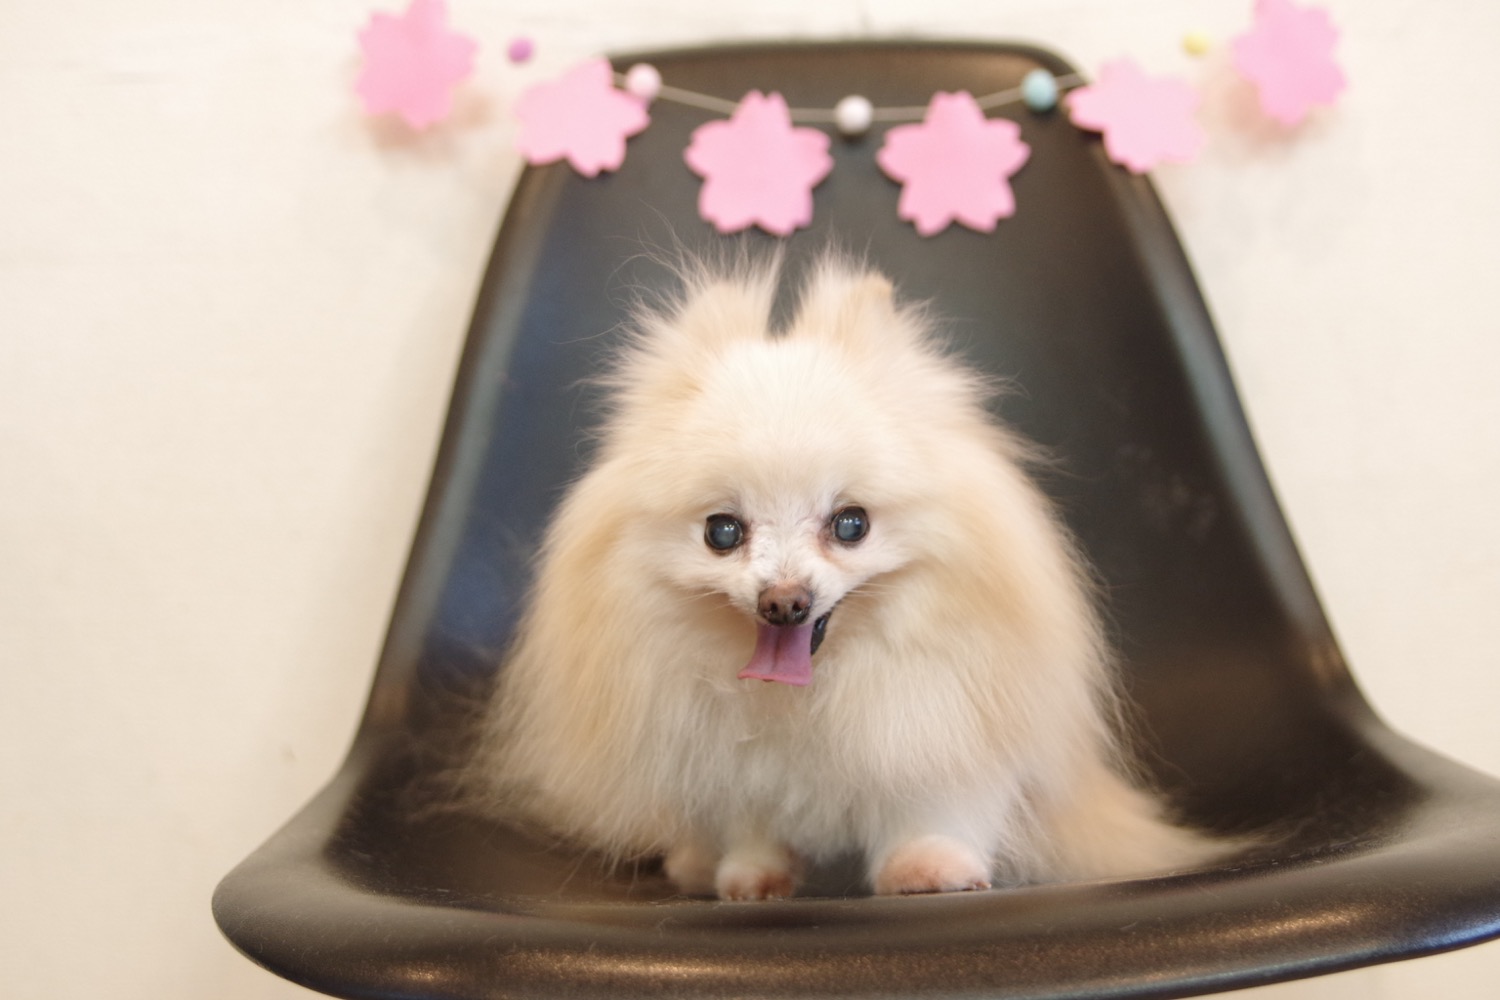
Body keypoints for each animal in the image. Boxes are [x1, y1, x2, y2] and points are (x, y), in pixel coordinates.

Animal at [473, 254, 1218, 899]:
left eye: (851, 523)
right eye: (722, 532)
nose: (784, 602)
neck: (811, 697)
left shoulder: (939, 723)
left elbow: (936, 807)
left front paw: (928, 870)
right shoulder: (731, 768)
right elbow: (750, 825)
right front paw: (750, 878)